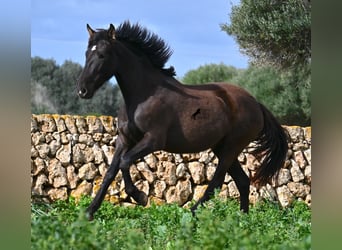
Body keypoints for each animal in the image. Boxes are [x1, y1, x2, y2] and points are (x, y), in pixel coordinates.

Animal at [76, 22, 288, 221]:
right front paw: (89, 212)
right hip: (222, 147)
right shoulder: (125, 139)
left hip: (231, 147)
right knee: (242, 182)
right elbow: (110, 172)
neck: (143, 95)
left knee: (217, 181)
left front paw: (140, 197)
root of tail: (256, 104)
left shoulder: (153, 140)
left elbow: (125, 162)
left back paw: (192, 213)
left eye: (102, 55)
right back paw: (242, 219)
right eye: (86, 53)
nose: (82, 90)